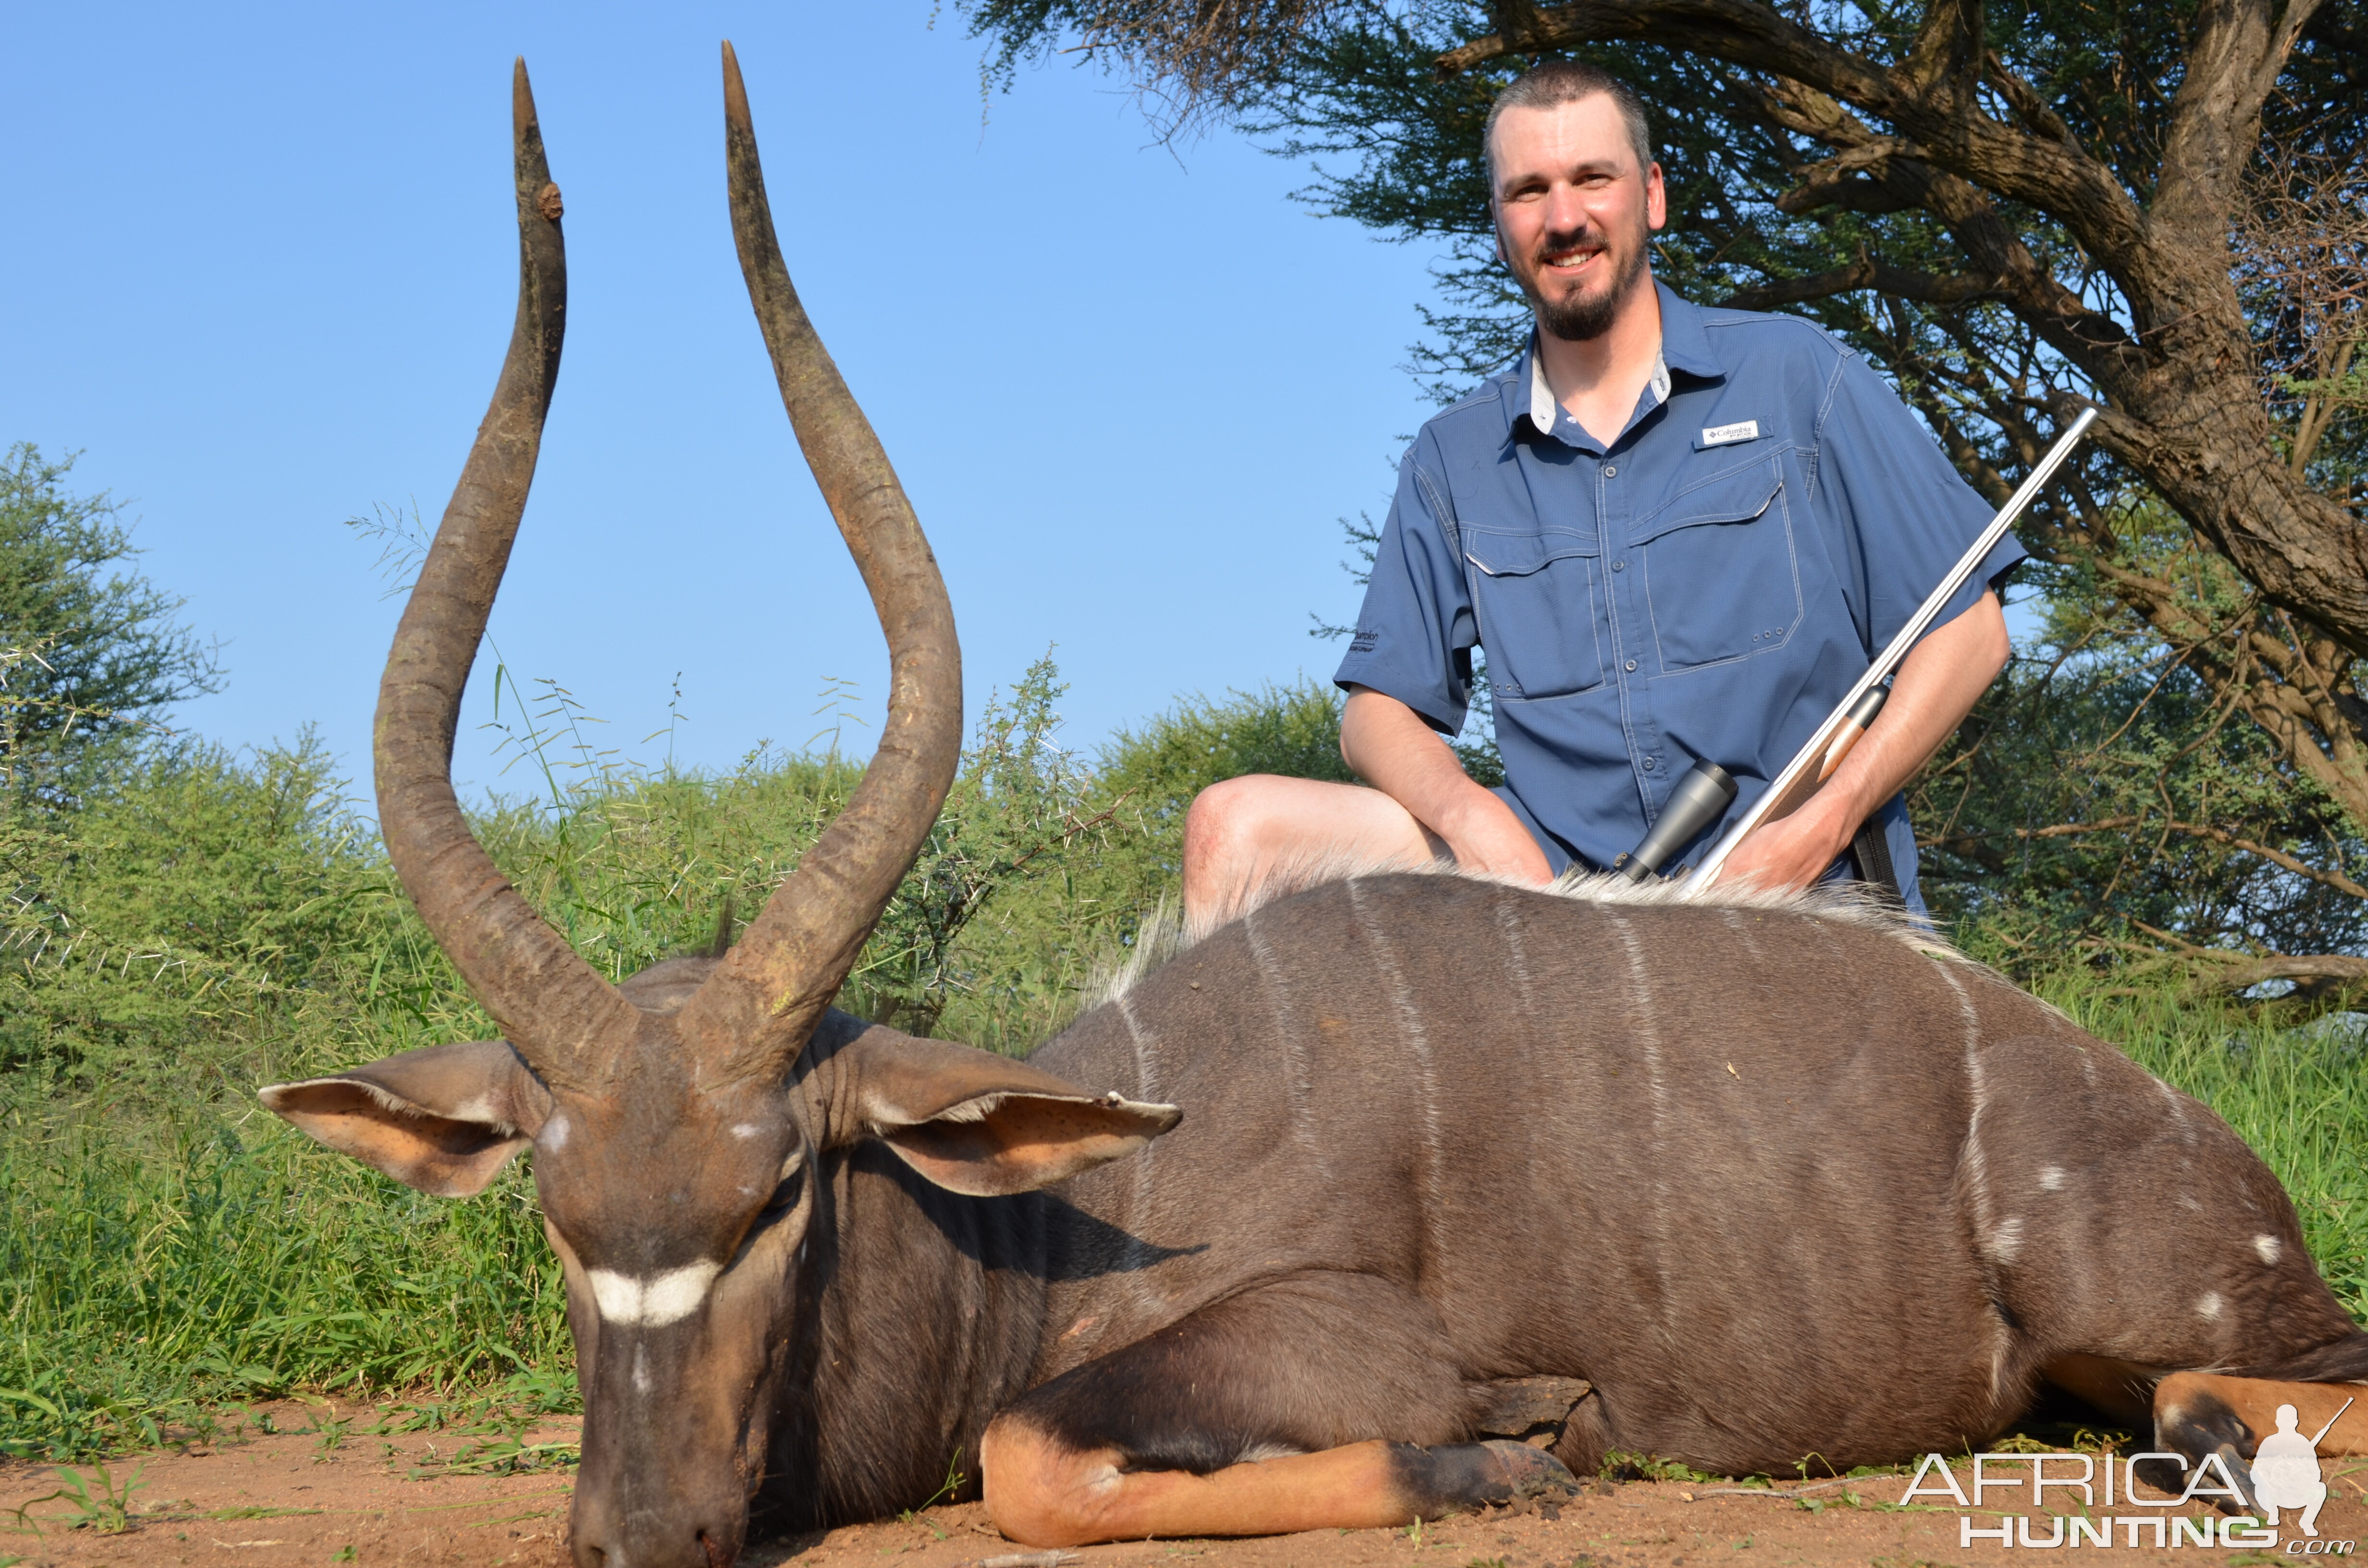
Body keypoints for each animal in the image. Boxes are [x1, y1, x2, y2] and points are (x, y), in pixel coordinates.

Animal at [259, 43, 2368, 1568]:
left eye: (779, 1185)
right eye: (552, 1205)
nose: (640, 1535)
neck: (1081, 1200)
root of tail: (2141, 1099)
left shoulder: (1339, 1333)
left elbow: (1031, 1459)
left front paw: (1511, 1450)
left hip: (2174, 1310)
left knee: (2229, 1395)